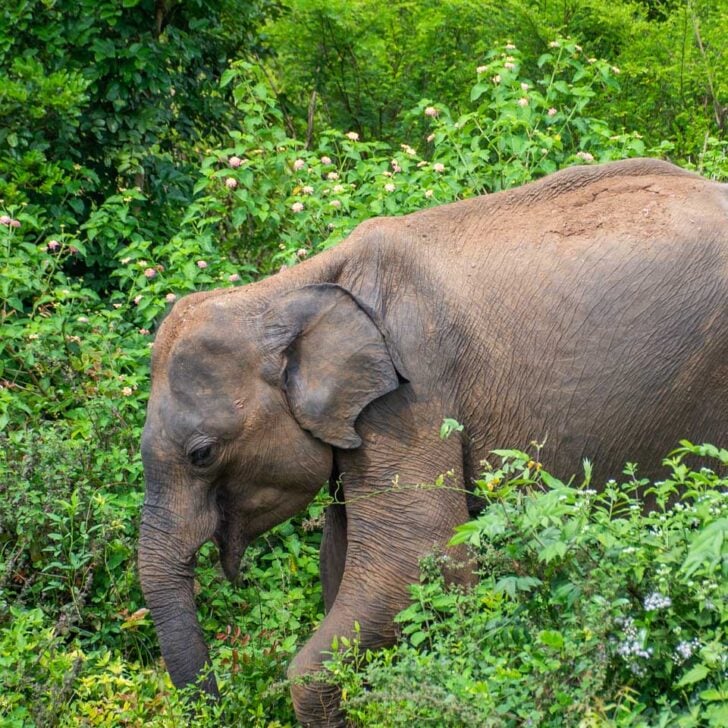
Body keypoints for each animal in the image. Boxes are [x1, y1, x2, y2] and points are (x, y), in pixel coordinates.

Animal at [138, 158, 727, 726]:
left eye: (202, 455)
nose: (218, 702)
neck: (287, 290)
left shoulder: (413, 390)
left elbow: (419, 557)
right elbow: (342, 562)